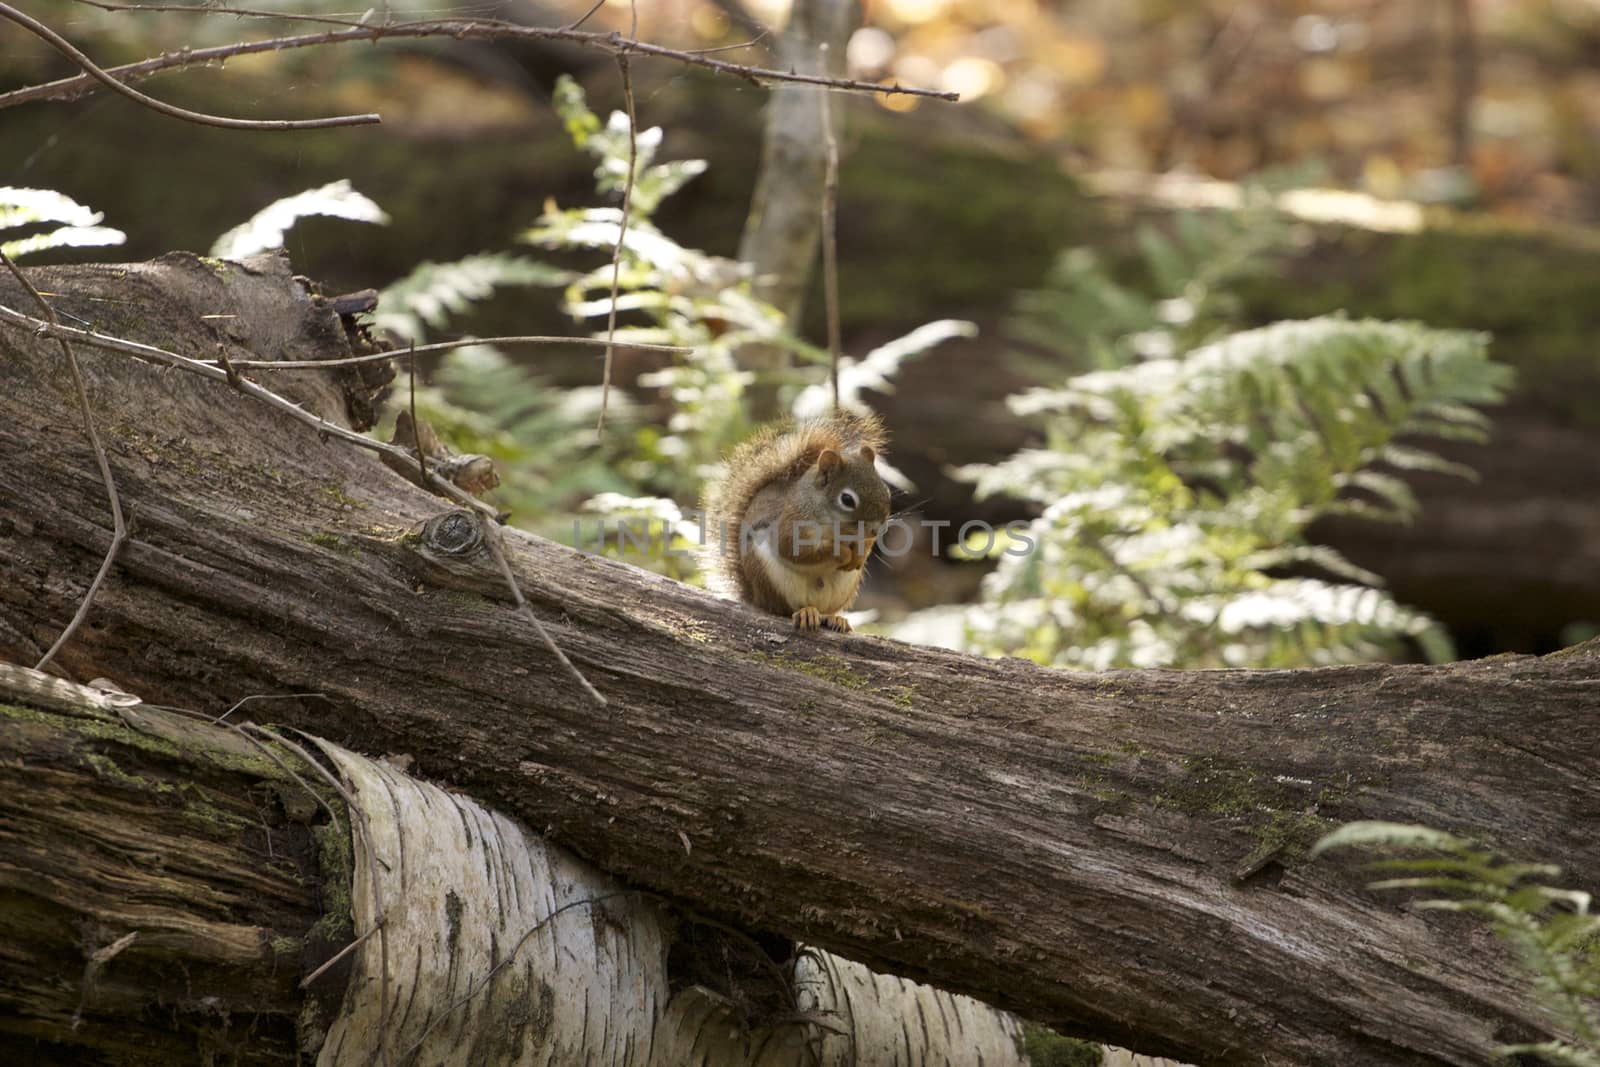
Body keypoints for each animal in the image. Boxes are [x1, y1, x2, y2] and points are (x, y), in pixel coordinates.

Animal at [704, 412, 896, 633]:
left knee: (827, 610)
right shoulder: (791, 522)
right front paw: (842, 553)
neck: (836, 527)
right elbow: (794, 550)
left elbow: (864, 545)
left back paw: (835, 618)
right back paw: (806, 613)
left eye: (886, 490)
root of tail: (757, 598)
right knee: (785, 610)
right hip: (772, 579)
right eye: (847, 499)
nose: (876, 530)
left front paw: (859, 555)